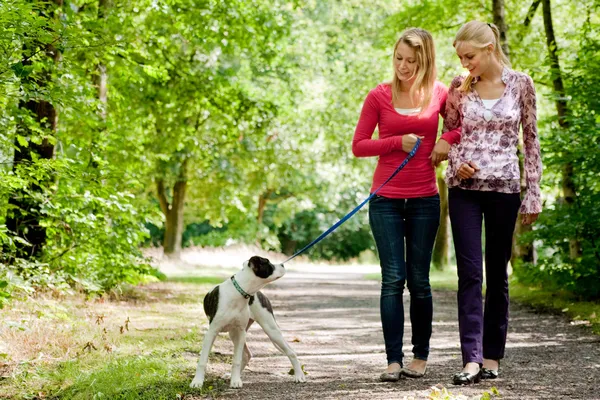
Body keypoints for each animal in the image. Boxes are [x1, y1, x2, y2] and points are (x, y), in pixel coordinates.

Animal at [190, 255, 308, 390]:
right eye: (268, 264)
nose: (283, 265)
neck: (239, 292)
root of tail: (259, 293)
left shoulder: (240, 332)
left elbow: (236, 360)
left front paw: (235, 381)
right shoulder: (212, 333)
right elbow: (203, 360)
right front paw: (197, 382)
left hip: (271, 330)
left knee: (291, 352)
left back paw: (299, 375)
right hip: (234, 334)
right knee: (247, 355)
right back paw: (229, 375)